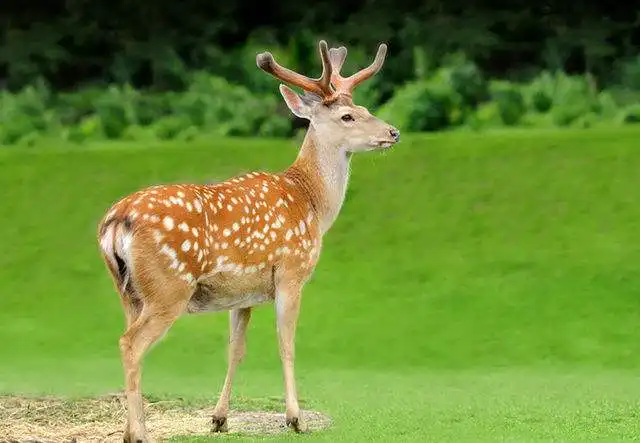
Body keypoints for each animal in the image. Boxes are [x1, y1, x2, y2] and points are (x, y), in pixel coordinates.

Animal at [97, 39, 398, 443]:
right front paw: (295, 418)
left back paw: (133, 429)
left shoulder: (243, 293)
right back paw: (139, 433)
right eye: (348, 117)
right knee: (130, 344)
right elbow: (287, 344)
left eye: (365, 109)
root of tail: (117, 221)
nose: (393, 132)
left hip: (129, 291)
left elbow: (236, 350)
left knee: (129, 341)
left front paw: (219, 418)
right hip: (168, 287)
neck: (311, 202)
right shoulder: (291, 271)